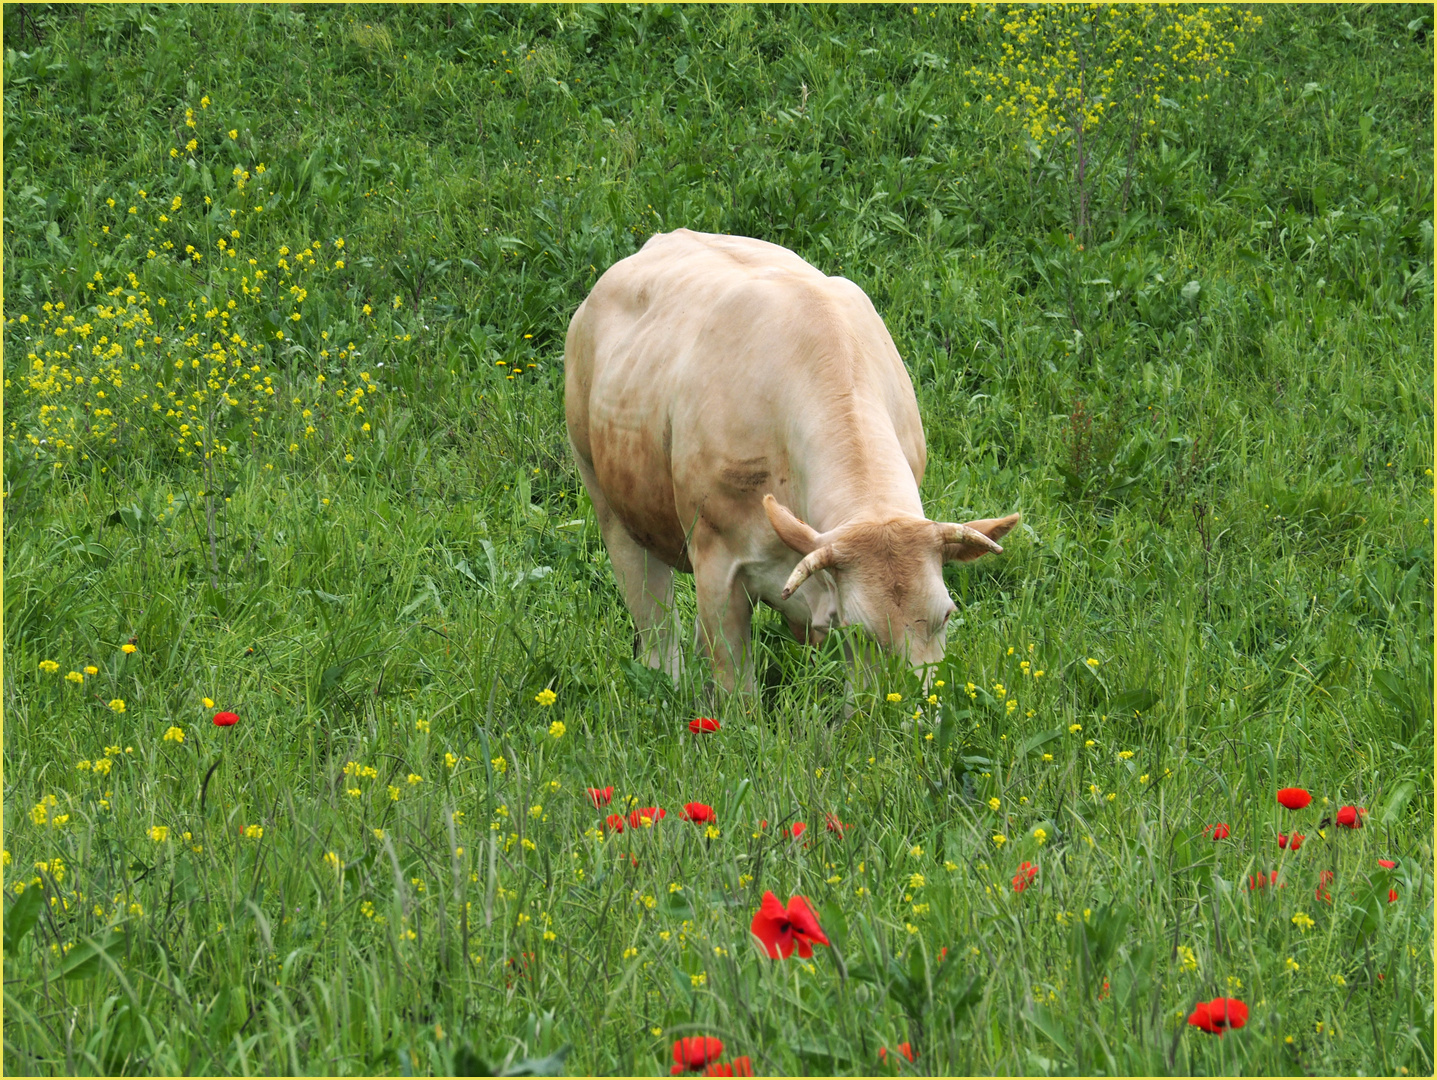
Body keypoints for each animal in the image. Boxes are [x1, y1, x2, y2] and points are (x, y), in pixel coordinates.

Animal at [563, 231, 1023, 695]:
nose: (910, 706)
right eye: (861, 630)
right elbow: (736, 691)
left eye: (945, 614)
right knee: (657, 628)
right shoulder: (717, 569)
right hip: (609, 504)